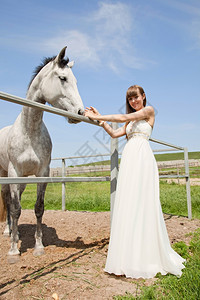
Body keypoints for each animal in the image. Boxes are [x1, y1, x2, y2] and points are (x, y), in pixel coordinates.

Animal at [0, 46, 84, 262]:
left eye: (76, 81)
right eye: (63, 78)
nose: (80, 113)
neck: (29, 131)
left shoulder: (42, 173)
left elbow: (38, 208)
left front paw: (38, 246)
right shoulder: (14, 173)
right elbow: (15, 209)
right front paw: (13, 251)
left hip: (23, 180)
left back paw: (16, 233)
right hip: (6, 176)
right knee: (8, 202)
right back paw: (9, 232)